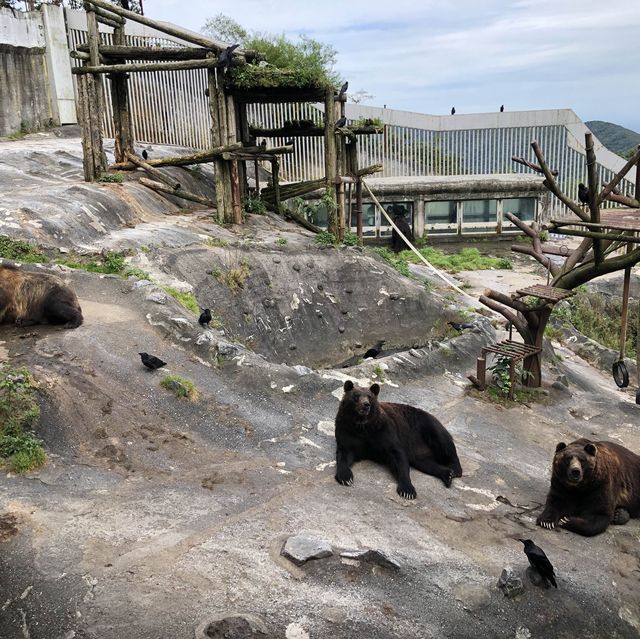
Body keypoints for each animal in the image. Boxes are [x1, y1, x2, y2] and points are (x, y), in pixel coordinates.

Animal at [332, 380, 462, 500]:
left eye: (370, 397)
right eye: (356, 396)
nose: (366, 405)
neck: (362, 426)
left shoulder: (383, 431)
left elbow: (397, 455)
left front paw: (407, 490)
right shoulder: (346, 430)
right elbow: (344, 453)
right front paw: (345, 477)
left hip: (426, 425)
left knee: (443, 443)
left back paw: (455, 470)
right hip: (418, 451)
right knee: (426, 463)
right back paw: (447, 475)